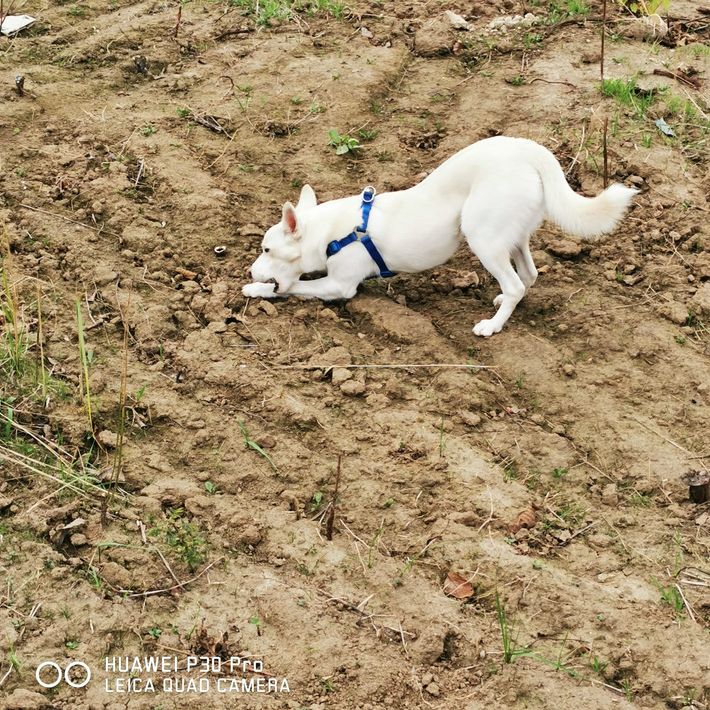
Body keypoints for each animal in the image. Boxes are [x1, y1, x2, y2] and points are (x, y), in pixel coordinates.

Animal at [242, 136, 638, 336]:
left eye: (266, 249)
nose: (250, 270)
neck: (332, 230)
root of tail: (530, 150)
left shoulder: (339, 285)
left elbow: (293, 287)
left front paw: (255, 288)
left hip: (481, 235)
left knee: (515, 284)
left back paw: (492, 325)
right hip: (512, 236)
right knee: (528, 275)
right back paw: (504, 305)